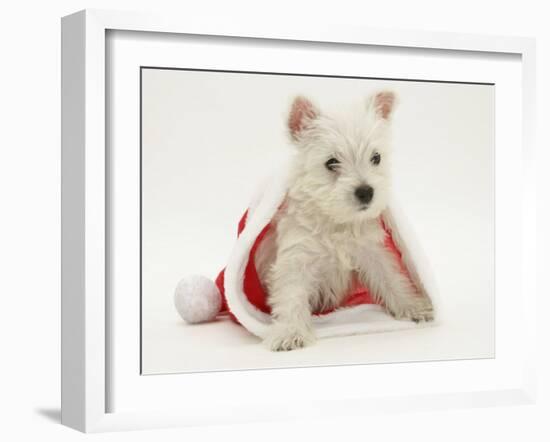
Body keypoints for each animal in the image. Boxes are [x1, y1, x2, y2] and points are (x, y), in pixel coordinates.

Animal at [258, 91, 436, 350]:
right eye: (331, 162)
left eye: (376, 157)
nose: (366, 192)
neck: (337, 221)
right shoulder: (296, 257)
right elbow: (291, 294)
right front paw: (290, 332)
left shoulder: (372, 251)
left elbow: (391, 278)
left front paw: (413, 306)